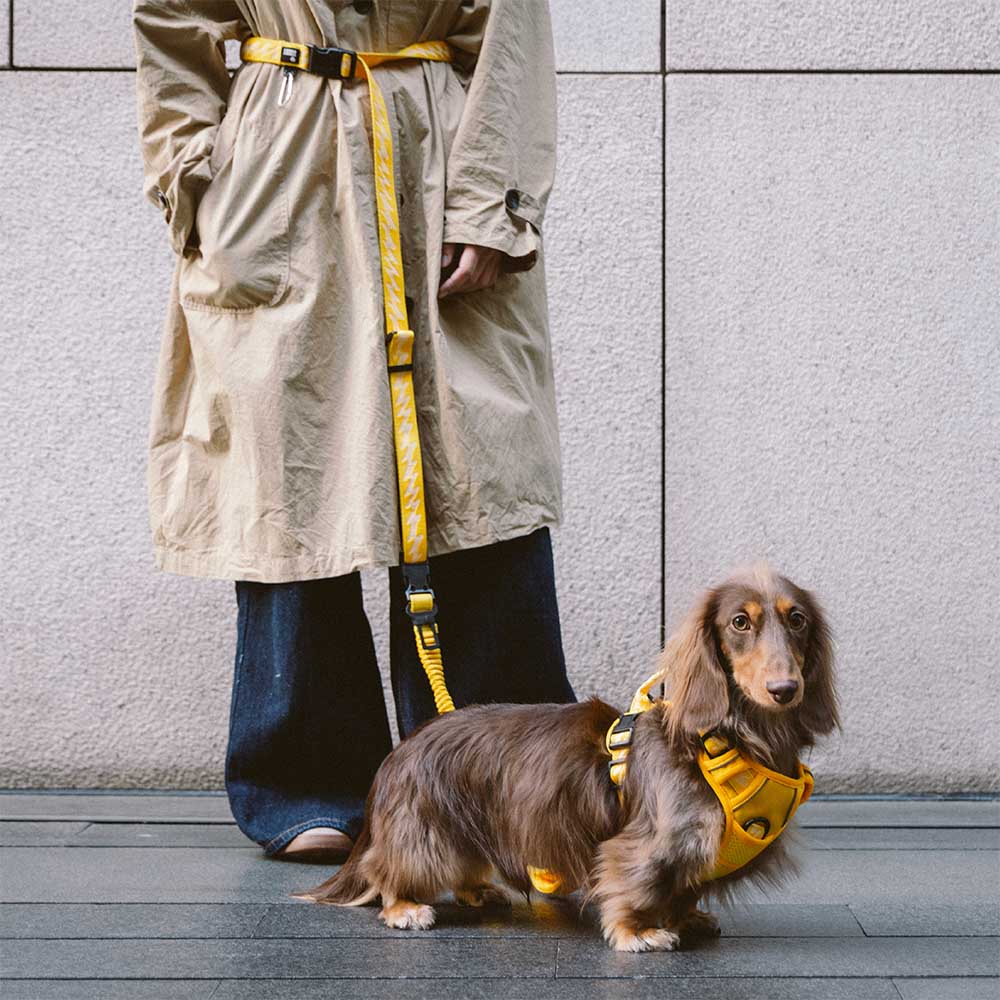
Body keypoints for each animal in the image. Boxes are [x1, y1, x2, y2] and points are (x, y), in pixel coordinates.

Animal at [296, 568, 836, 948]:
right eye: (739, 622)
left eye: (797, 619)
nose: (784, 689)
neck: (736, 740)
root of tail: (401, 749)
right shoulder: (648, 844)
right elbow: (637, 884)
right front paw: (639, 932)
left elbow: (685, 890)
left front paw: (688, 918)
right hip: (425, 833)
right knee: (387, 870)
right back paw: (405, 907)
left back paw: (478, 891)